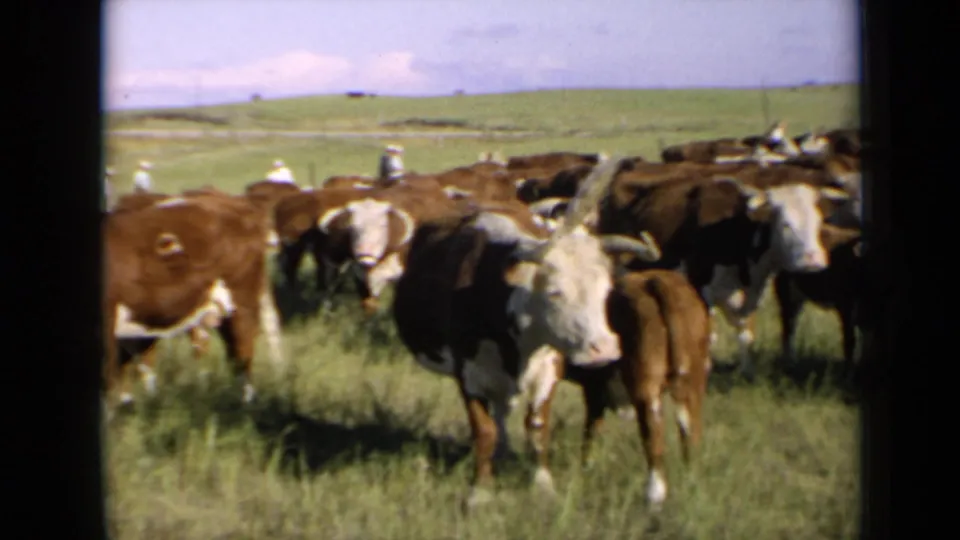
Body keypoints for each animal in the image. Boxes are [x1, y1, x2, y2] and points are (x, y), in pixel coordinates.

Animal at [391, 157, 663, 510]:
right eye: (555, 292)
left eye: (606, 290)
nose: (604, 349)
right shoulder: (469, 375)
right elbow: (484, 431)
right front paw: (480, 490)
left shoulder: (547, 367)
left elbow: (537, 427)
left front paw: (543, 484)